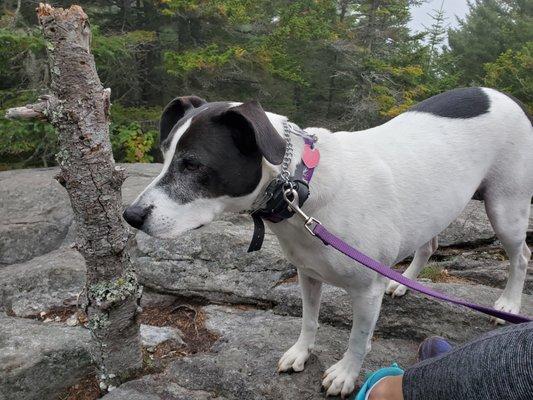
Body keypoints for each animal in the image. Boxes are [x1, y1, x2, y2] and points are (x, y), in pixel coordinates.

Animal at [124, 87, 532, 396]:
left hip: (505, 209)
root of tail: (502, 95)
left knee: (521, 256)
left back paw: (509, 302)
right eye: (165, 155)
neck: (299, 188)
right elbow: (309, 320)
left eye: (193, 164)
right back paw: (405, 282)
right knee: (428, 246)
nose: (131, 215)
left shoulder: (366, 291)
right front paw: (301, 352)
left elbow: (357, 337)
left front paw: (346, 374)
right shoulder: (308, 273)